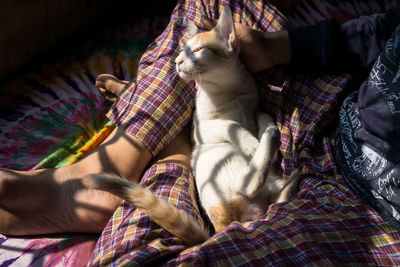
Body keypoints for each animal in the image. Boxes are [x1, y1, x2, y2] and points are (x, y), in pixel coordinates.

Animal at [83, 6, 298, 248]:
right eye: (181, 52)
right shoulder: (200, 130)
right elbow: (230, 124)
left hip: (266, 182)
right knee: (250, 185)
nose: (177, 61)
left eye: (197, 50)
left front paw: (267, 130)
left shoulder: (254, 107)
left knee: (273, 194)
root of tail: (225, 226)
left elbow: (263, 117)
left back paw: (285, 161)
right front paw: (251, 142)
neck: (229, 91)